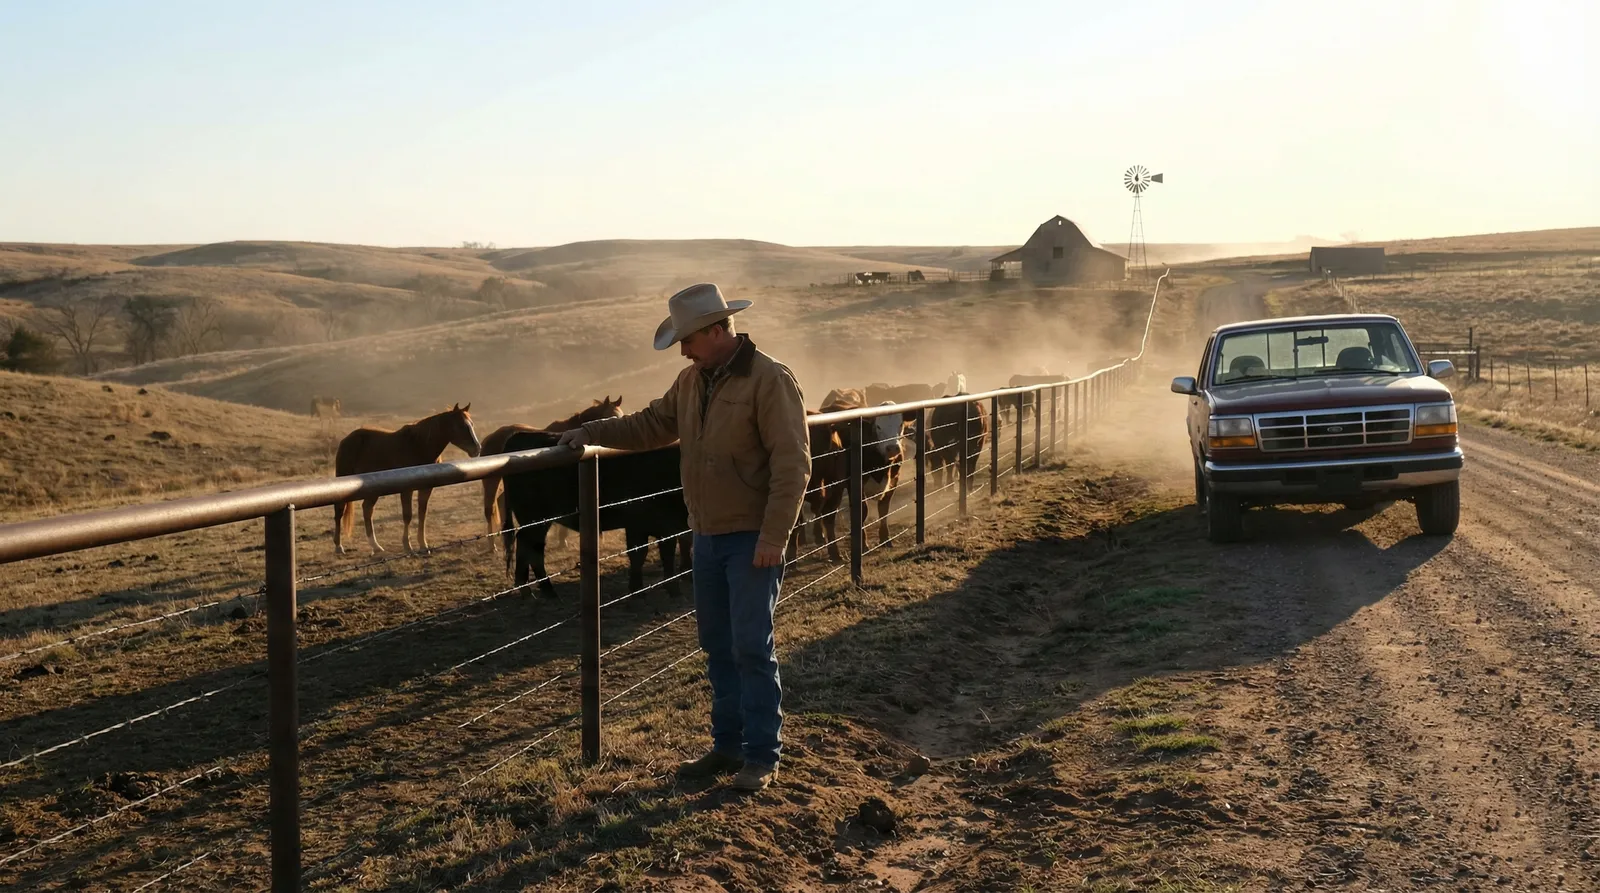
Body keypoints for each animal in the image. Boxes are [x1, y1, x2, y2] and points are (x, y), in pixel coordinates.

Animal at [332, 403, 481, 554]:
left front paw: (423, 545)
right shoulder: (406, 489)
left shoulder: (426, 488)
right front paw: (408, 546)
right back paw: (339, 546)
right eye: (461, 426)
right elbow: (407, 515)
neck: (418, 446)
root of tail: (347, 439)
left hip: (372, 489)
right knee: (339, 511)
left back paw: (376, 546)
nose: (477, 449)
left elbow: (422, 514)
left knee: (367, 509)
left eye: (472, 424)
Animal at [479, 396, 624, 552]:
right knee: (489, 510)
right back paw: (492, 546)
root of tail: (489, 438)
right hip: (492, 481)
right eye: (610, 416)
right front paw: (562, 539)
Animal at [500, 431, 690, 597]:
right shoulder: (646, 525)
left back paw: (528, 589)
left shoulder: (661, 526)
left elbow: (659, 553)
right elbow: (645, 554)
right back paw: (545, 590)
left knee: (528, 545)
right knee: (531, 547)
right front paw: (655, 589)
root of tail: (518, 436)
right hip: (536, 518)